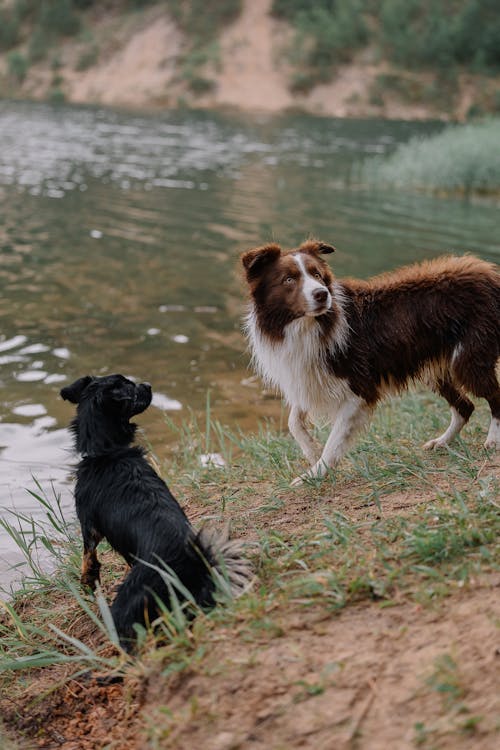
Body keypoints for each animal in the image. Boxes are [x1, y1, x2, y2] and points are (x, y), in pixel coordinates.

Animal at [61, 376, 252, 652]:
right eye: (131, 389)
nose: (148, 385)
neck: (107, 452)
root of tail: (192, 564)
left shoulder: (89, 525)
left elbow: (88, 556)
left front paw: (88, 578)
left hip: (128, 601)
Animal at [240, 241, 498, 488]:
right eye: (289, 279)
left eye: (318, 275)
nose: (322, 294)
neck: (309, 326)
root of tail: (489, 272)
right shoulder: (309, 376)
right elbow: (293, 421)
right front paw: (312, 451)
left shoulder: (359, 390)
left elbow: (334, 440)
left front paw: (313, 475)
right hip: (436, 370)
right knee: (465, 407)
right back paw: (442, 442)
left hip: (469, 359)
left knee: (494, 396)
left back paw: (493, 440)